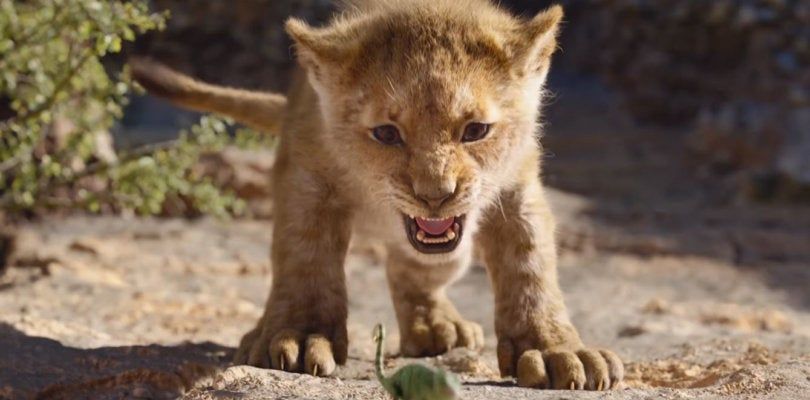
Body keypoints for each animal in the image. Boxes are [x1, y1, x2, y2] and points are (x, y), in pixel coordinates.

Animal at [131, 0, 624, 390]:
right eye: (386, 133)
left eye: (476, 130)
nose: (435, 195)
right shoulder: (307, 178)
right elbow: (305, 258)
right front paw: (299, 336)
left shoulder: (517, 190)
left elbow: (531, 268)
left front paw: (553, 349)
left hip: (450, 253)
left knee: (413, 271)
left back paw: (437, 327)